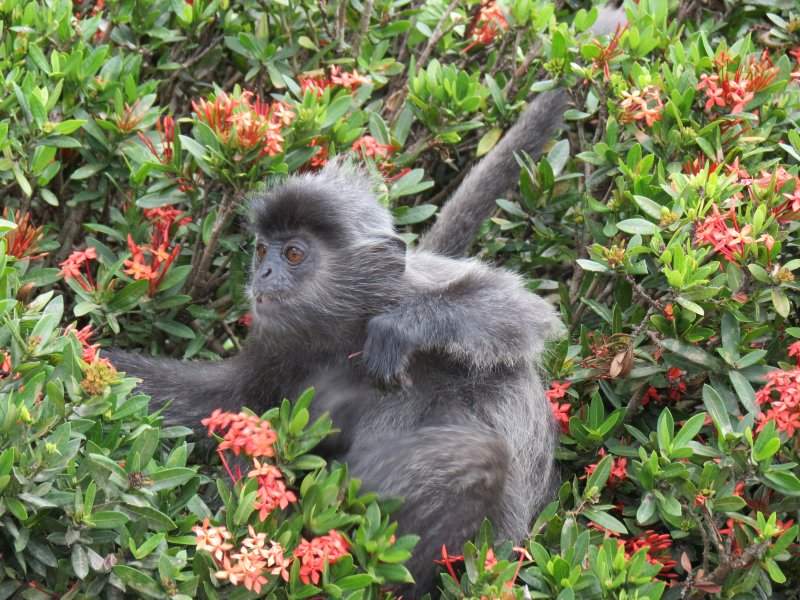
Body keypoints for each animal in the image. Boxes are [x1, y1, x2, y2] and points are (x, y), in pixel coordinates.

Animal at [108, 88, 568, 597]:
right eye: (263, 250)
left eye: (294, 253)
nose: (263, 274)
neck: (343, 332)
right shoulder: (278, 343)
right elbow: (226, 398)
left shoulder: (412, 287)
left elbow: (526, 314)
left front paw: (401, 330)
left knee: (478, 457)